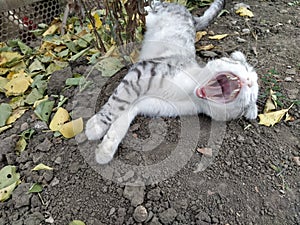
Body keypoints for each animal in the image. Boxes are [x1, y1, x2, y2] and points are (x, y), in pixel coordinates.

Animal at [84, 0, 258, 164]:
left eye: (250, 100)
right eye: (245, 68)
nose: (249, 81)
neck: (189, 93)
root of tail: (189, 15)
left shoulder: (147, 104)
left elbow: (122, 120)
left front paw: (105, 149)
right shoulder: (143, 71)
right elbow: (116, 103)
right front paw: (96, 126)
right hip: (150, 12)